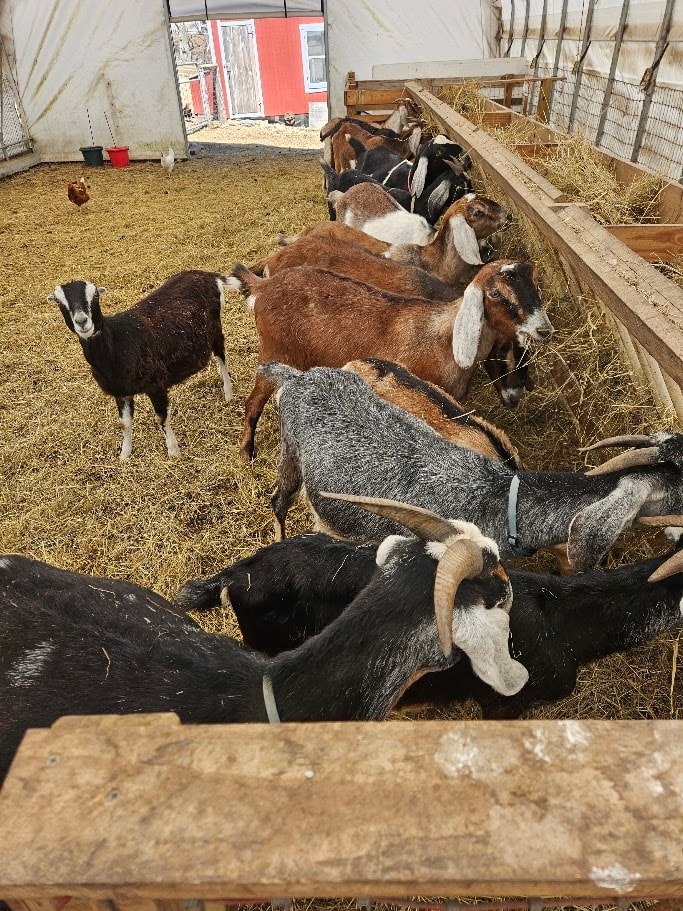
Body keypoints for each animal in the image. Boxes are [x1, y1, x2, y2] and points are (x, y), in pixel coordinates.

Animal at [48, 273, 232, 459]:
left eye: (96, 295)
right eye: (58, 302)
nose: (82, 321)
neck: (116, 342)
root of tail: (209, 275)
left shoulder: (156, 384)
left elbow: (161, 418)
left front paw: (173, 451)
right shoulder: (121, 392)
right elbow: (125, 423)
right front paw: (124, 454)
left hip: (215, 329)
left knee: (222, 357)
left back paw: (228, 393)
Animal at [229, 259, 553, 461]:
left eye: (536, 286)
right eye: (497, 294)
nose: (544, 330)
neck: (442, 338)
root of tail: (263, 287)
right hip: (272, 351)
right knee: (253, 403)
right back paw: (247, 453)